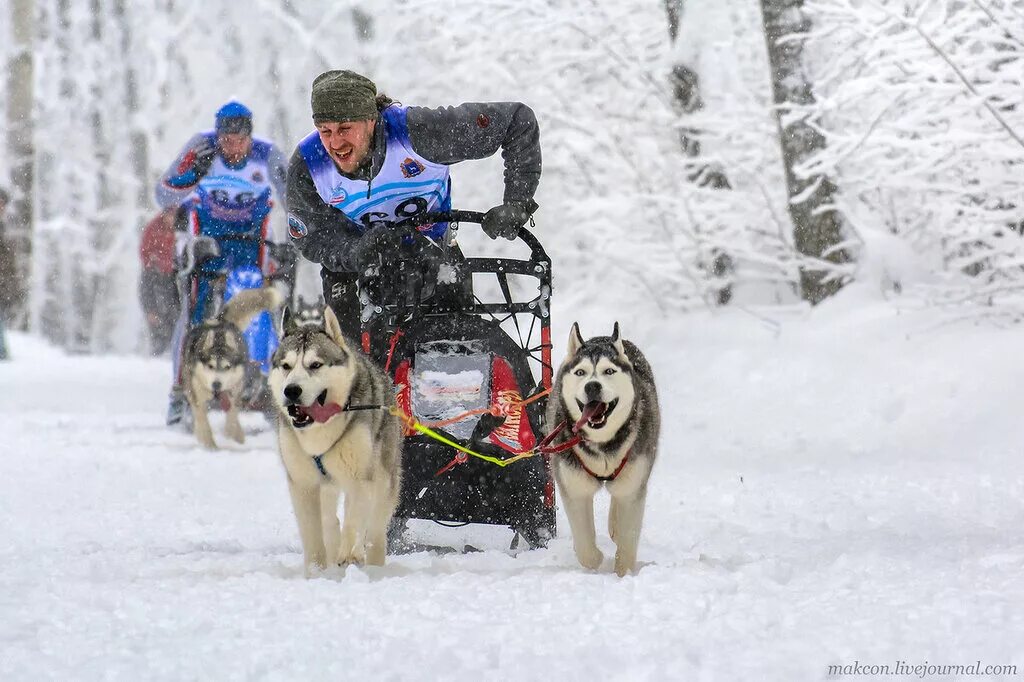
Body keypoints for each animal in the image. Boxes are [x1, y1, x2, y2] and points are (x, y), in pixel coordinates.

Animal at [181, 284, 284, 448]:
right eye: (210, 366)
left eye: (227, 367)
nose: (216, 384)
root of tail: (220, 321)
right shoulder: (196, 393)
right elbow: (202, 418)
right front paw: (209, 445)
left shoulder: (234, 392)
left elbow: (232, 415)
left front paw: (233, 437)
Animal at [270, 305, 401, 569]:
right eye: (286, 366)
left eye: (315, 365)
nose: (291, 390)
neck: (320, 431)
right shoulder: (303, 484)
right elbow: (313, 532)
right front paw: (315, 570)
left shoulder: (361, 477)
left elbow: (355, 521)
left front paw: (350, 553)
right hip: (327, 485)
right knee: (330, 519)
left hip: (384, 480)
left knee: (373, 529)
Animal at [548, 319, 659, 573]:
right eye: (581, 372)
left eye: (609, 371)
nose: (592, 386)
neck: (602, 445)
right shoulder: (574, 487)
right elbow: (585, 546)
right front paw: (594, 559)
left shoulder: (633, 486)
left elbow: (628, 538)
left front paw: (624, 573)